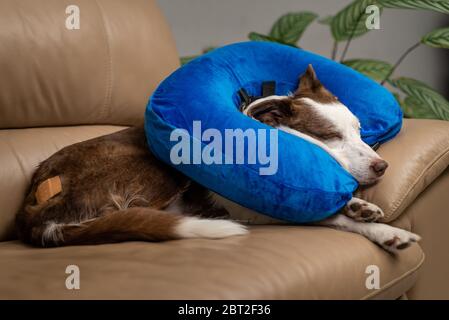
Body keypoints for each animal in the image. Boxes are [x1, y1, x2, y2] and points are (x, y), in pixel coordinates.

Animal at [14, 64, 420, 252]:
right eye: (330, 136)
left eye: (359, 130)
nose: (383, 166)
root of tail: (34, 205)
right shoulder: (255, 209)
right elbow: (331, 216)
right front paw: (386, 231)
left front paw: (361, 207)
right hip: (159, 172)